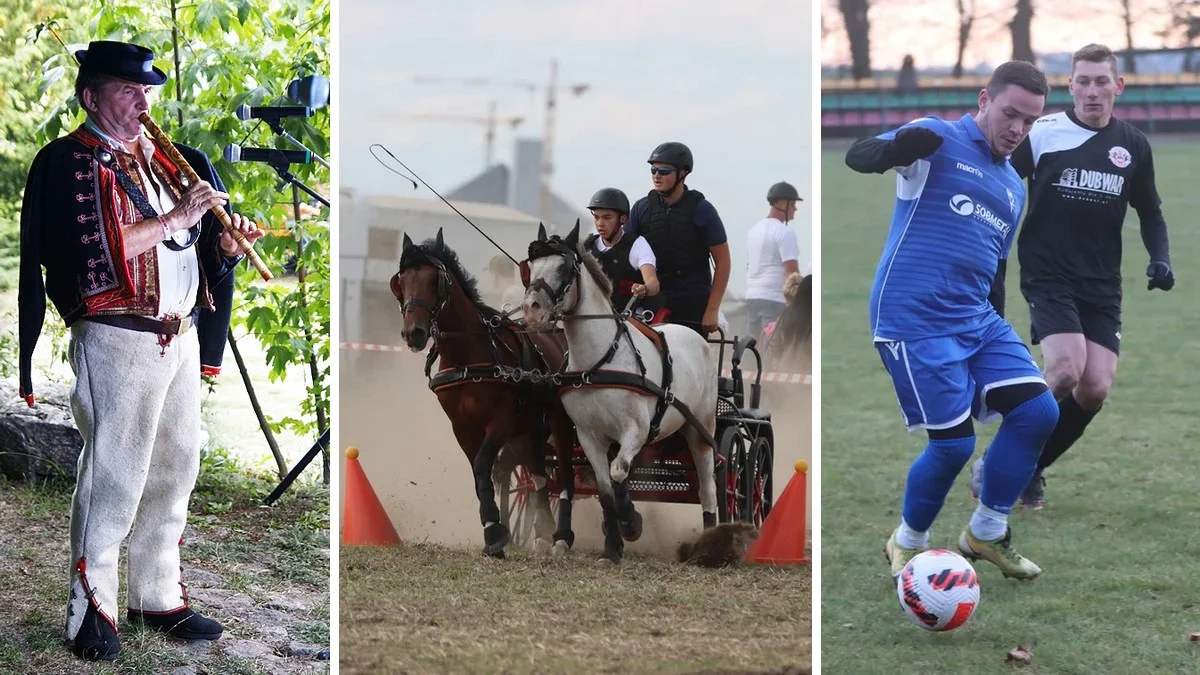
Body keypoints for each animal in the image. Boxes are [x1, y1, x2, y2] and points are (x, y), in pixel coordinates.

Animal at [391, 228, 578, 554]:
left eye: (435, 280)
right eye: (401, 282)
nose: (413, 333)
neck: (468, 358)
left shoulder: (500, 422)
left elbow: (482, 466)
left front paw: (494, 531)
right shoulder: (462, 427)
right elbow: (480, 473)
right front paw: (494, 529)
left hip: (558, 422)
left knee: (565, 473)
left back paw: (562, 536)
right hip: (527, 430)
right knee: (538, 476)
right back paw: (542, 533)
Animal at [520, 220, 715, 562]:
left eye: (564, 267)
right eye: (531, 266)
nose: (532, 310)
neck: (599, 360)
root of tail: (695, 335)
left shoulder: (636, 430)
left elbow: (620, 472)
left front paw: (631, 522)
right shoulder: (589, 436)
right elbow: (606, 489)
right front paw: (612, 547)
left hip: (700, 430)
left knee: (709, 487)